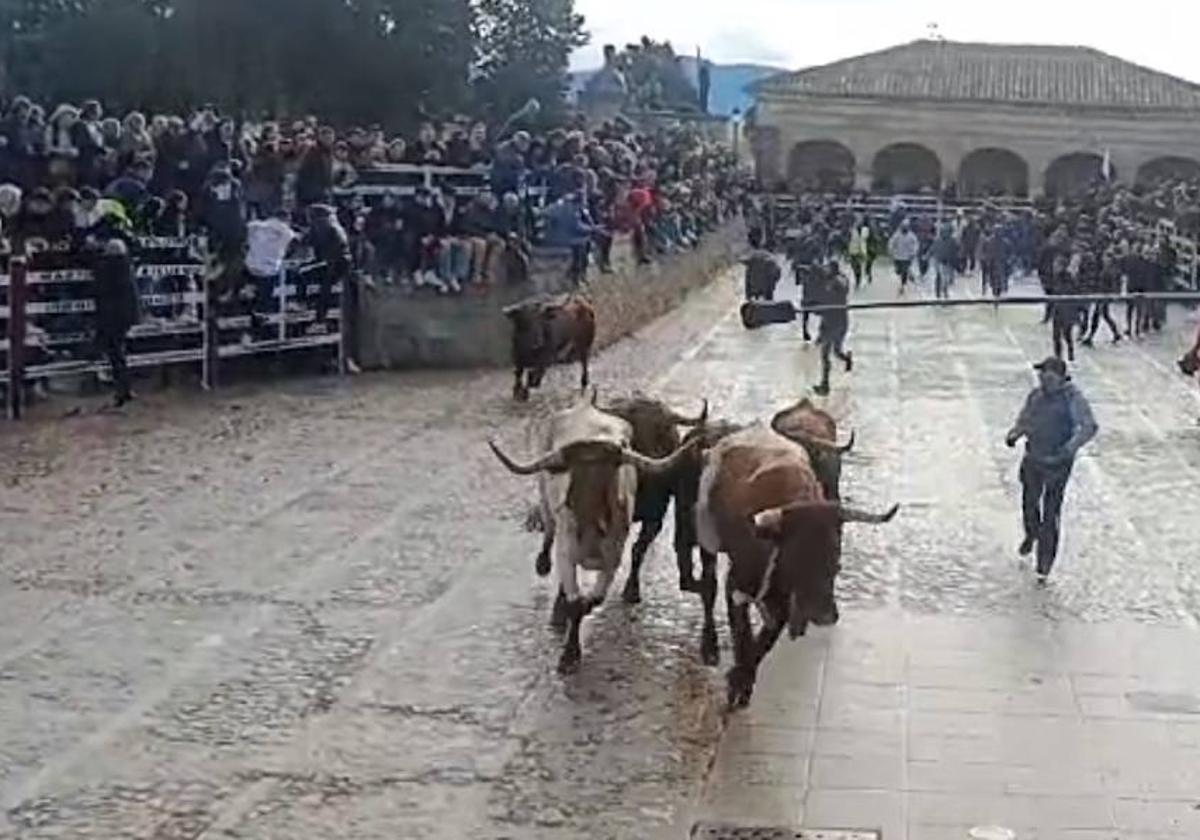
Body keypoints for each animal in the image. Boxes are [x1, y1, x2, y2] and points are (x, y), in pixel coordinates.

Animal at [487, 396, 696, 676]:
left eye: (609, 472)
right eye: (576, 473)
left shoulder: (615, 554)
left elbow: (590, 600)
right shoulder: (566, 548)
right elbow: (573, 597)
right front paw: (568, 654)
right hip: (547, 502)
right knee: (549, 533)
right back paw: (544, 567)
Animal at [696, 427, 902, 710]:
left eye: (835, 558)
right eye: (800, 554)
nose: (826, 616)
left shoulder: (780, 601)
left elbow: (763, 642)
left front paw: (743, 681)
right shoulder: (737, 586)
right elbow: (743, 635)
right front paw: (738, 682)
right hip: (707, 543)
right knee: (708, 587)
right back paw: (710, 647)